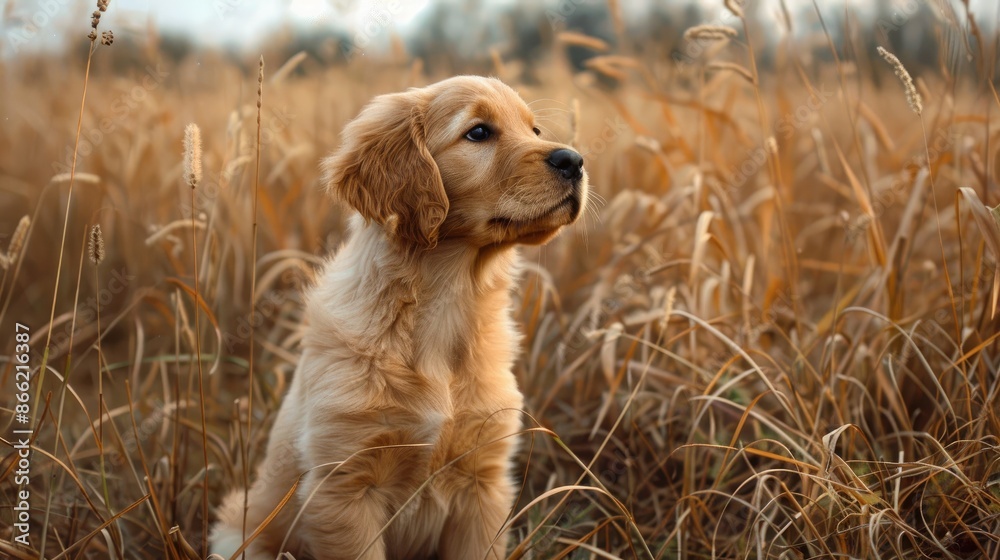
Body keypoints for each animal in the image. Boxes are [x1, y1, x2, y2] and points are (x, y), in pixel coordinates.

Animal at [211, 75, 584, 560]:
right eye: (479, 132)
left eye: (535, 130)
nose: (574, 160)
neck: (447, 299)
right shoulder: (345, 486)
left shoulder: (483, 483)